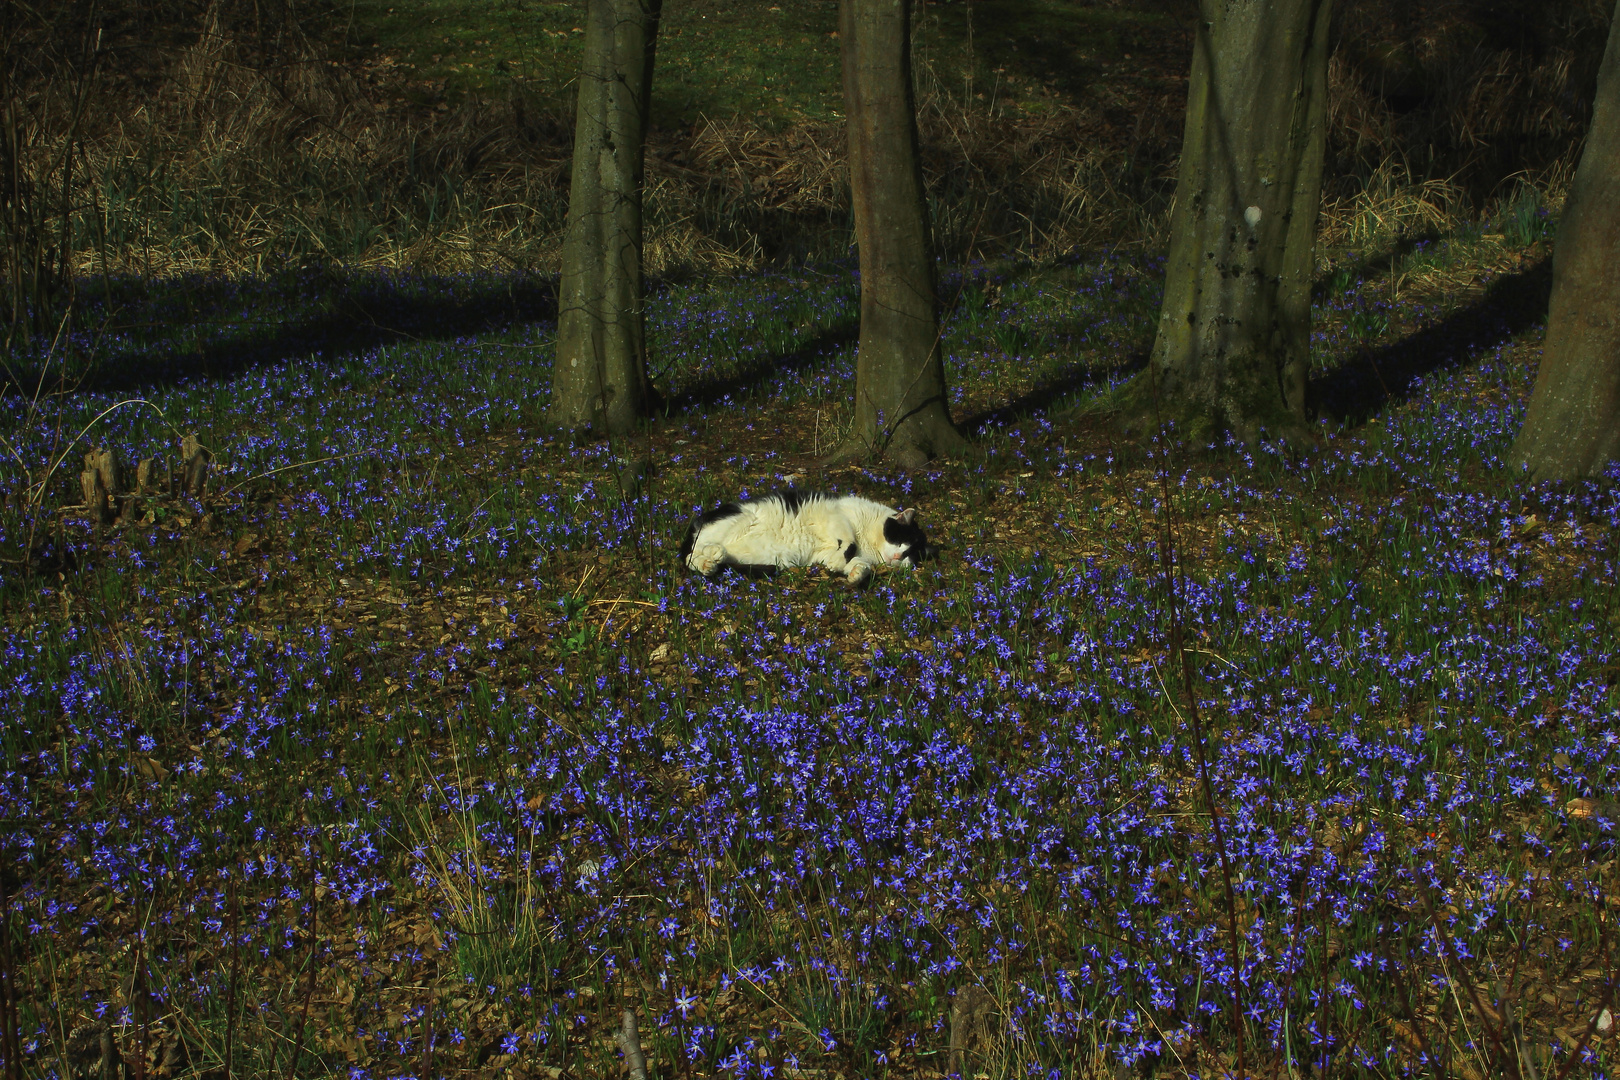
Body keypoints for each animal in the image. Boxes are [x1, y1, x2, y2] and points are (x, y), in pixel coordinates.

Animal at [680, 495, 933, 586]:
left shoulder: (823, 553)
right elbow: (849, 542)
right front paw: (841, 563)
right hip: (742, 518)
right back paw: (712, 555)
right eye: (901, 540)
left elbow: (856, 562)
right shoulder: (838, 516)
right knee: (691, 553)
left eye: (911, 555)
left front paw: (855, 572)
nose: (899, 556)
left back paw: (711, 562)